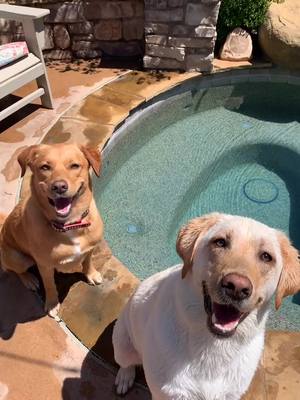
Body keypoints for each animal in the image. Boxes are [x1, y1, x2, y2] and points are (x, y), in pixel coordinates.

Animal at [0, 143, 106, 318]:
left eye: (74, 165)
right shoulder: (45, 265)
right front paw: (51, 303)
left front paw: (91, 274)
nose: (59, 187)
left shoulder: (90, 248)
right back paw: (29, 279)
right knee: (15, 271)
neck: (70, 225)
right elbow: (49, 284)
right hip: (18, 258)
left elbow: (87, 261)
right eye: (45, 167)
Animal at [113, 214, 300, 400]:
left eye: (266, 257)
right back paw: (124, 377)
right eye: (220, 242)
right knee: (126, 363)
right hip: (122, 342)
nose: (236, 287)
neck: (214, 345)